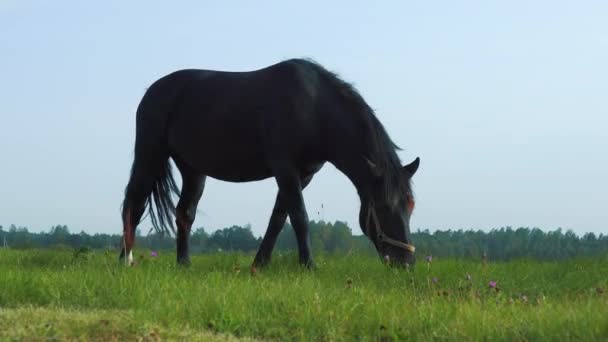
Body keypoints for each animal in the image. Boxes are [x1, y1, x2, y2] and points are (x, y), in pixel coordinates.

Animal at [121, 58, 420, 268]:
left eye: (410, 205)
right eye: (383, 206)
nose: (405, 263)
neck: (315, 109)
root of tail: (152, 92)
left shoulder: (302, 175)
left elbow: (278, 218)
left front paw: (260, 264)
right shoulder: (285, 168)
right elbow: (299, 216)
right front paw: (309, 265)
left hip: (193, 170)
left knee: (185, 213)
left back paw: (184, 264)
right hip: (150, 155)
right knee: (134, 203)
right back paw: (126, 260)